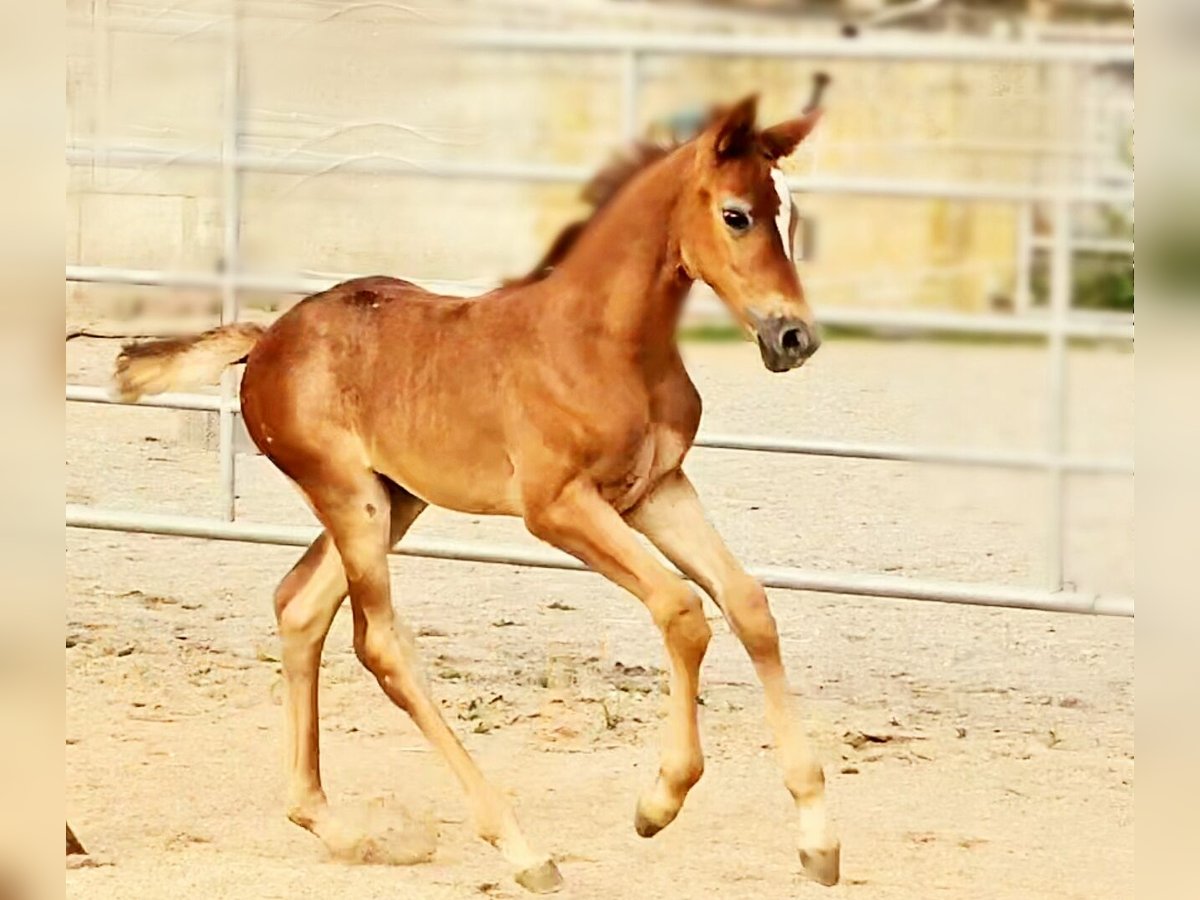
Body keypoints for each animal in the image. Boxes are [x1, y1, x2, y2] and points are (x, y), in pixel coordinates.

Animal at [117, 95, 840, 892]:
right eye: (738, 215)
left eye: (794, 218)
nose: (795, 337)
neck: (604, 343)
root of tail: (266, 339)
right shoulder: (557, 508)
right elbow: (681, 610)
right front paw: (659, 801)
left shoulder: (657, 491)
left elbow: (747, 604)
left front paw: (819, 842)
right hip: (351, 499)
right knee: (380, 643)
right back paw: (521, 848)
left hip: (394, 500)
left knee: (301, 607)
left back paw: (341, 830)